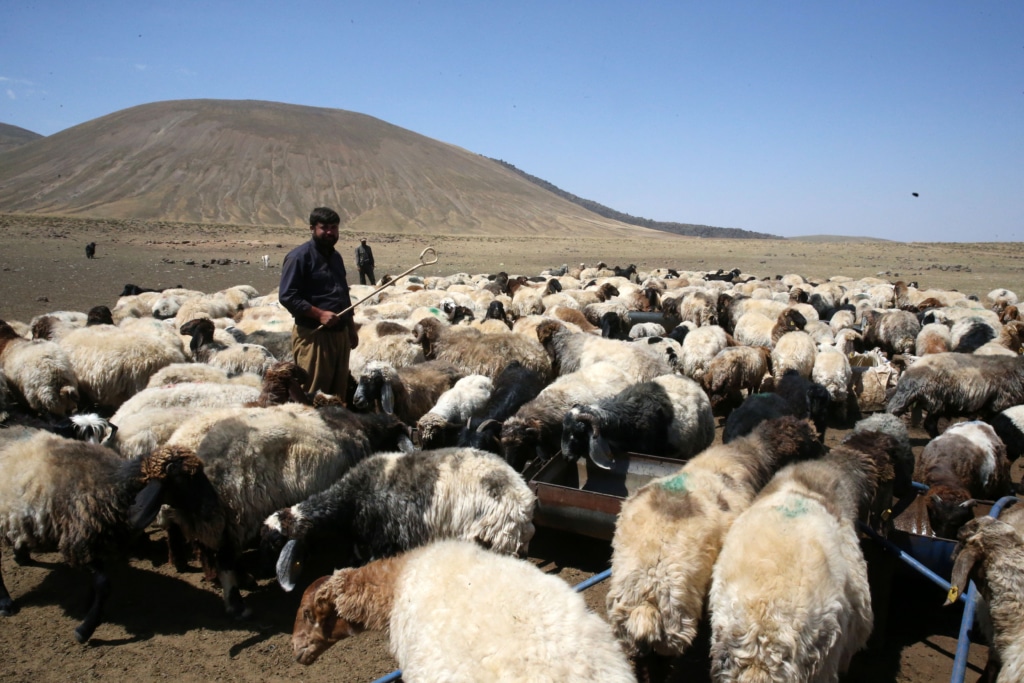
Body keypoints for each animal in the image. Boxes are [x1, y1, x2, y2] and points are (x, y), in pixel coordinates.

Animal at [0, 440, 223, 643]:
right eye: (184, 478)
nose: (213, 506)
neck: (115, 486)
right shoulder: (81, 542)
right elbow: (104, 584)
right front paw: (85, 629)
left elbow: (96, 584)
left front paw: (89, 606)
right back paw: (6, 604)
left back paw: (22, 556)